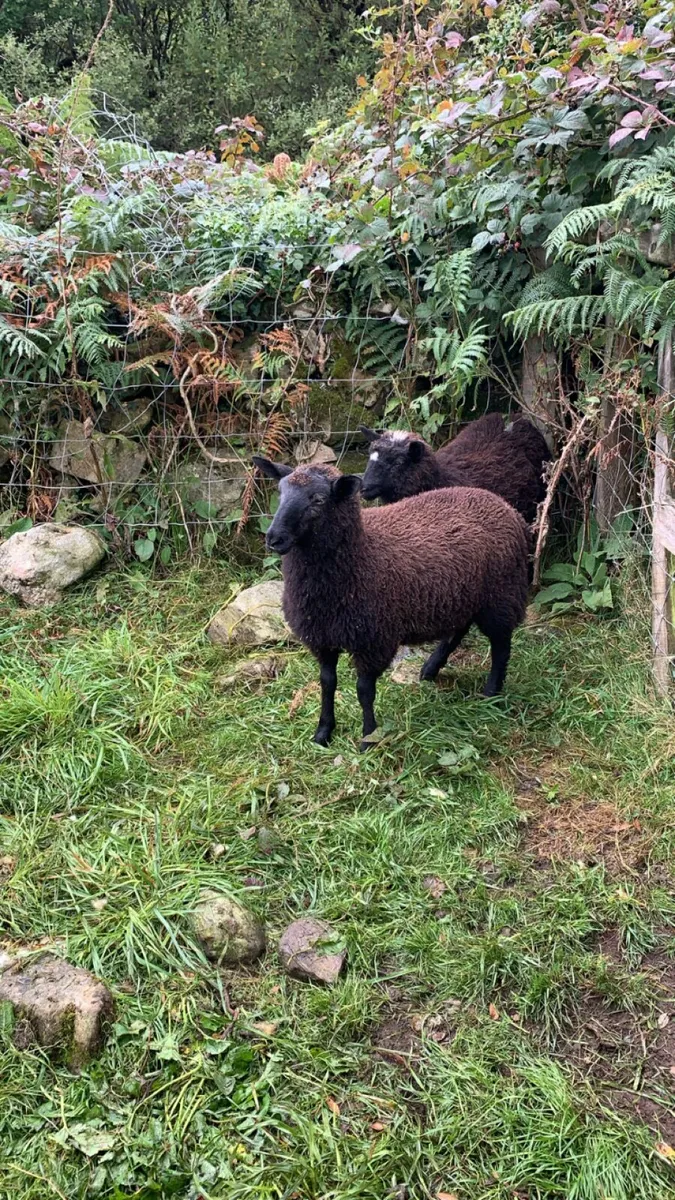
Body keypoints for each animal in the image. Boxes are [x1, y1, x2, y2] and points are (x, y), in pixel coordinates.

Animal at [252, 457, 530, 750]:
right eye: (280, 492)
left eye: (318, 499)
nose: (274, 538)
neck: (361, 555)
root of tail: (504, 506)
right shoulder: (322, 638)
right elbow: (327, 683)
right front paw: (323, 733)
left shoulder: (373, 640)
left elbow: (364, 691)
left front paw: (368, 738)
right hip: (462, 596)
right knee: (458, 630)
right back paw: (430, 670)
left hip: (500, 597)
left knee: (501, 647)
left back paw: (491, 694)